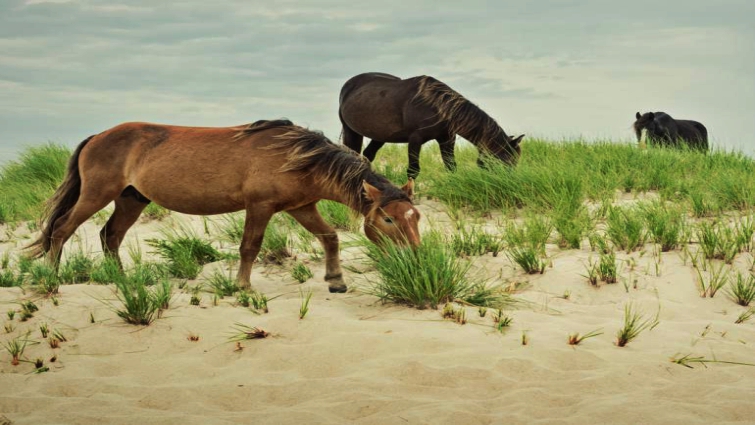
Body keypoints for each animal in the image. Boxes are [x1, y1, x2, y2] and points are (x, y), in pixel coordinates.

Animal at [27, 119, 421, 293]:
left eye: (415, 217)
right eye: (388, 219)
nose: (416, 258)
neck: (298, 158)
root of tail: (98, 136)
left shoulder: (301, 207)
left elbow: (329, 238)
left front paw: (336, 280)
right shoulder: (260, 207)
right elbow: (250, 247)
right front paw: (242, 287)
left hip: (130, 200)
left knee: (110, 236)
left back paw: (122, 281)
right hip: (97, 194)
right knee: (62, 230)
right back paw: (53, 280)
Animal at [338, 72, 524, 179]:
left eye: (515, 161)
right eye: (504, 160)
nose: (509, 182)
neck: (436, 106)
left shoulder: (447, 139)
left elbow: (451, 166)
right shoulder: (415, 140)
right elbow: (413, 170)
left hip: (380, 136)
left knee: (368, 155)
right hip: (351, 131)